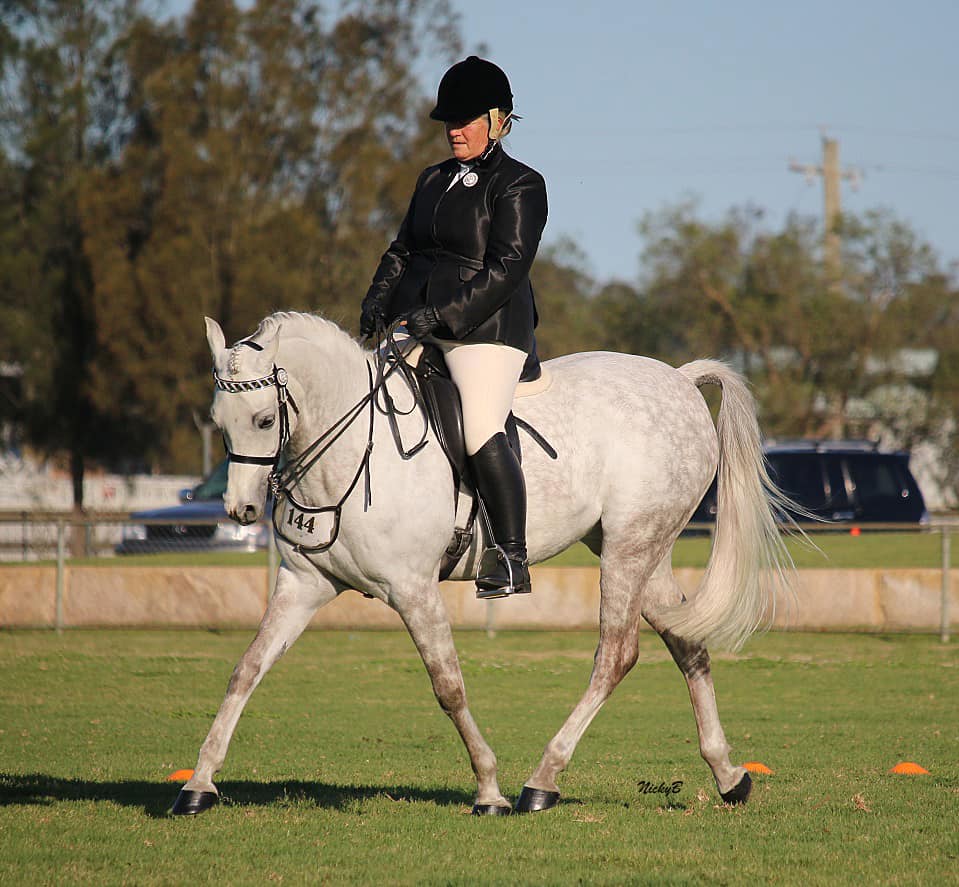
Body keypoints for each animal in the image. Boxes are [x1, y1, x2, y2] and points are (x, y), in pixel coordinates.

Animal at [174, 312, 796, 820]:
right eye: (218, 420)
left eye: (262, 419)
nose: (241, 509)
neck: (353, 451)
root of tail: (679, 380)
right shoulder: (304, 585)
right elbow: (247, 669)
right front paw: (198, 785)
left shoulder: (413, 590)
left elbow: (448, 687)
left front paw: (489, 790)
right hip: (644, 551)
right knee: (686, 644)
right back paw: (729, 776)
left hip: (629, 549)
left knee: (616, 655)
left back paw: (541, 782)